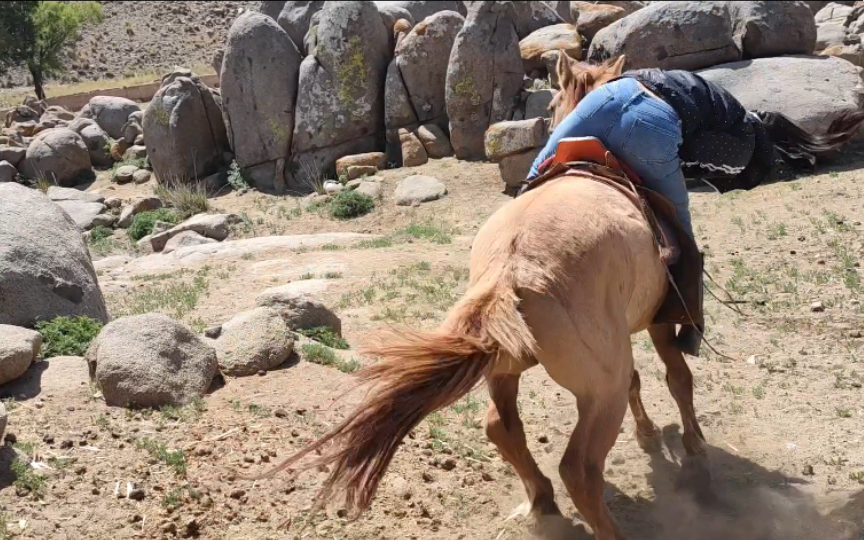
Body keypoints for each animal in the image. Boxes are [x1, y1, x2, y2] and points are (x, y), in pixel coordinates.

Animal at [251, 54, 864, 540]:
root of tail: (508, 274)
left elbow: (646, 381)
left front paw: (651, 435)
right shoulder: (657, 323)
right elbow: (677, 379)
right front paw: (693, 454)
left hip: (511, 369)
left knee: (503, 429)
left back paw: (543, 501)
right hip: (598, 389)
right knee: (581, 469)